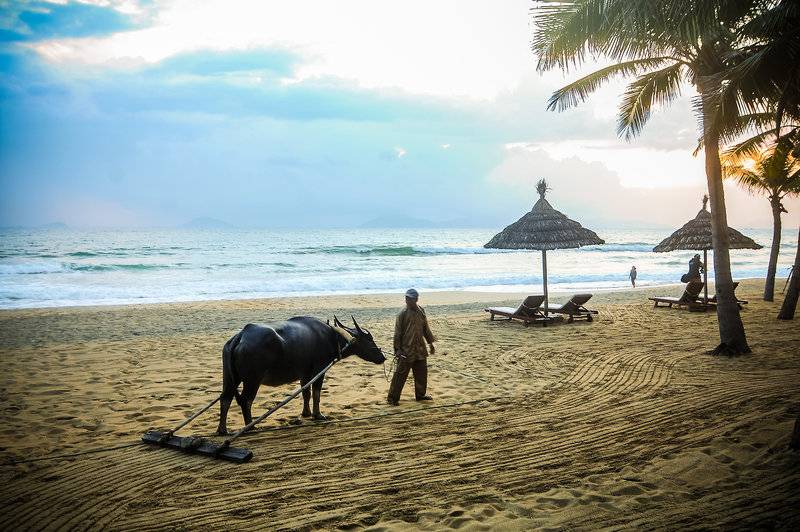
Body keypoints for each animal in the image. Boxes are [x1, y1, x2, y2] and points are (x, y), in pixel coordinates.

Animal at [216, 314, 384, 434]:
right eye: (369, 339)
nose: (382, 357)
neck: (332, 336)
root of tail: (241, 336)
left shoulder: (305, 375)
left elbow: (306, 393)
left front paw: (306, 413)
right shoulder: (319, 370)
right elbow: (316, 393)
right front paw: (318, 415)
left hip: (230, 378)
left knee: (225, 398)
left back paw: (222, 430)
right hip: (253, 379)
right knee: (245, 400)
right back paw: (250, 427)